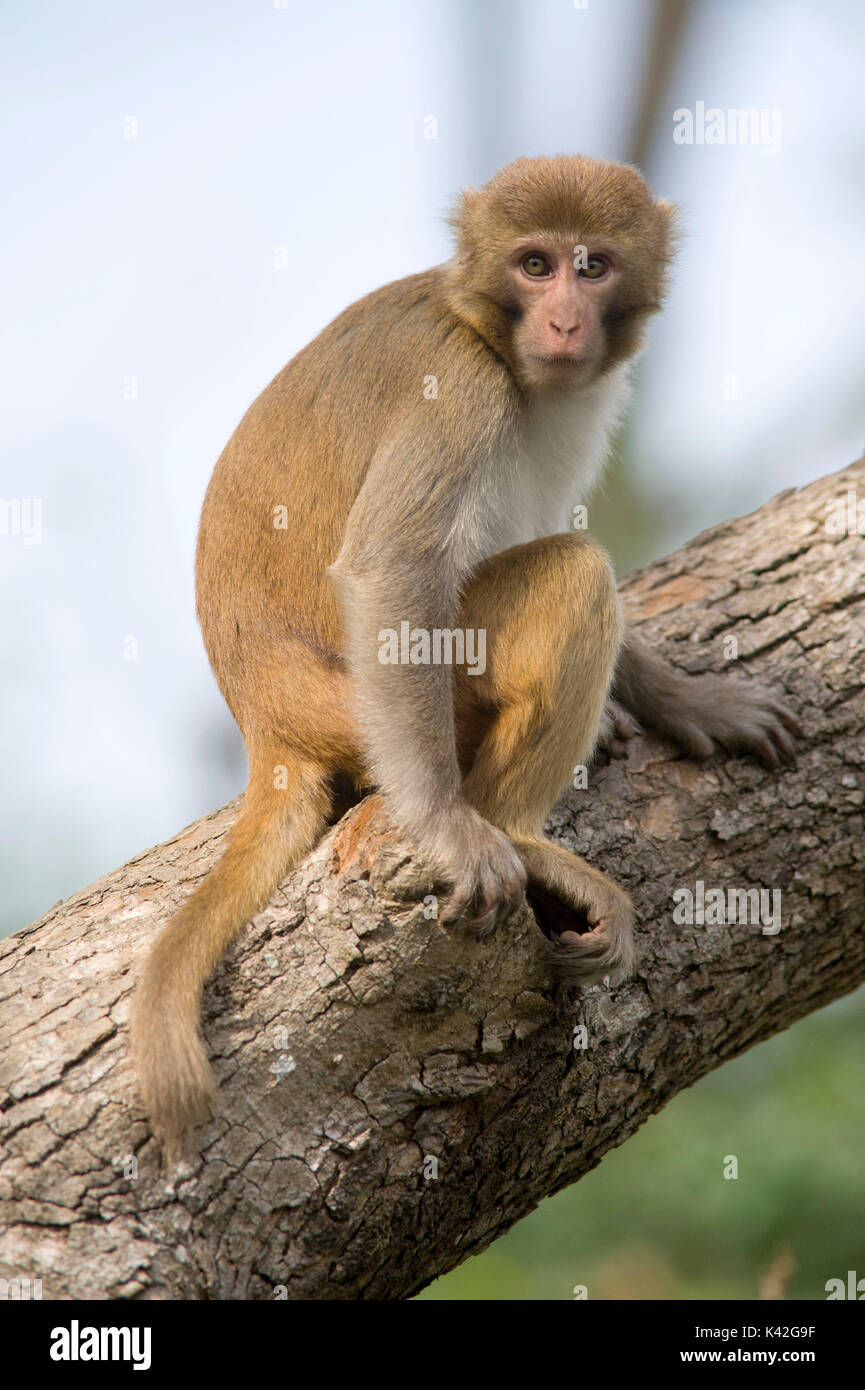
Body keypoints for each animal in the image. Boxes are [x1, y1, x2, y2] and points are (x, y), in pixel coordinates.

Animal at [130, 152, 806, 1156]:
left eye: (590, 266)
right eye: (533, 265)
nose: (563, 318)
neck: (494, 339)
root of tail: (265, 725)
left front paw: (692, 702)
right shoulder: (457, 390)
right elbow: (392, 574)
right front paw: (450, 826)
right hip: (394, 703)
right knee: (570, 575)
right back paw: (513, 830)